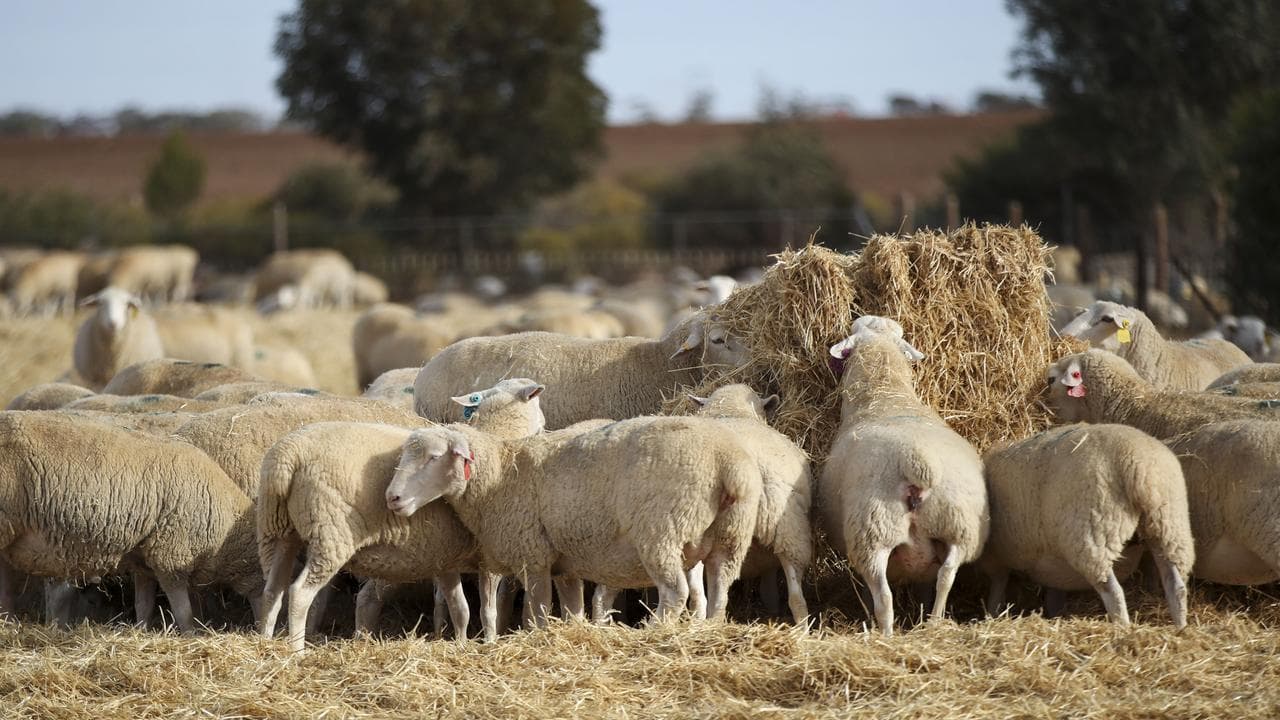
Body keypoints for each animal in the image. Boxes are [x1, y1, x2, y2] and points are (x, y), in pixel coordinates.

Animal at [0, 412, 260, 631]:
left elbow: (143, 603)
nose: (260, 632)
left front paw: (141, 630)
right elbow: (182, 610)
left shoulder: (144, 557)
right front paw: (190, 635)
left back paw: (9, 623)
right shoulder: (171, 555)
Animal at [256, 379, 546, 651]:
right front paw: (490, 642)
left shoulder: (445, 557)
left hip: (278, 530)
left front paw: (461, 643)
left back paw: (265, 642)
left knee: (272, 590)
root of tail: (287, 457)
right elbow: (488, 611)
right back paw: (297, 650)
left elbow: (460, 608)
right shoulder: (487, 557)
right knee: (300, 593)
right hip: (330, 535)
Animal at [386, 415, 763, 641]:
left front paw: (540, 638)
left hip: (662, 531)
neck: (501, 476)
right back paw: (711, 630)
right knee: (720, 590)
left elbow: (537, 610)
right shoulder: (564, 563)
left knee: (675, 592)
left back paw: (653, 632)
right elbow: (572, 609)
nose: (392, 497)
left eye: (434, 457)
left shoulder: (533, 557)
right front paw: (576, 631)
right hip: (731, 537)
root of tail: (727, 463)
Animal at [819, 316, 989, 636]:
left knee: (884, 597)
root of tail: (918, 460)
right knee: (946, 576)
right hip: (958, 527)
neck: (886, 395)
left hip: (872, 534)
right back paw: (933, 623)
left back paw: (886, 634)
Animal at [982, 423, 1194, 627]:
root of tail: (1141, 466)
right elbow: (1054, 591)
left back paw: (1124, 628)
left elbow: (998, 585)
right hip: (1169, 525)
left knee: (1113, 591)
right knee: (1176, 585)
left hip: (1095, 532)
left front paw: (991, 615)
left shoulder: (995, 555)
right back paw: (1181, 628)